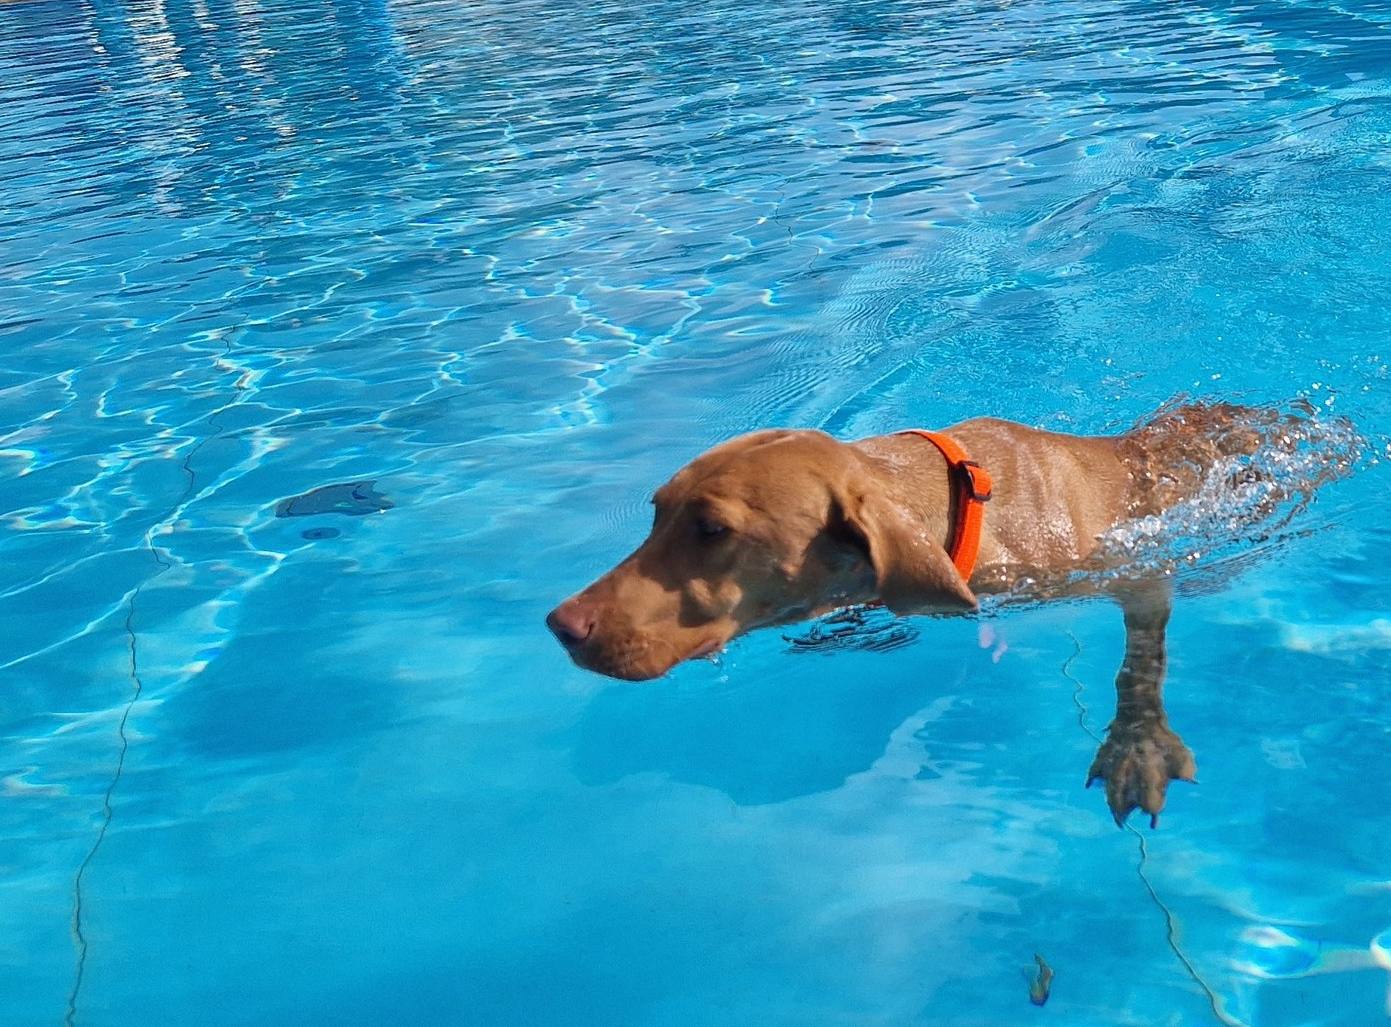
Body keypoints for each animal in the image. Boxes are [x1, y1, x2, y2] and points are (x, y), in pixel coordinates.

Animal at [548, 400, 1340, 823]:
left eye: (711, 529)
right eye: (656, 512)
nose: (561, 625)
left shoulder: (1133, 570)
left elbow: (1137, 661)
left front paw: (1136, 744)